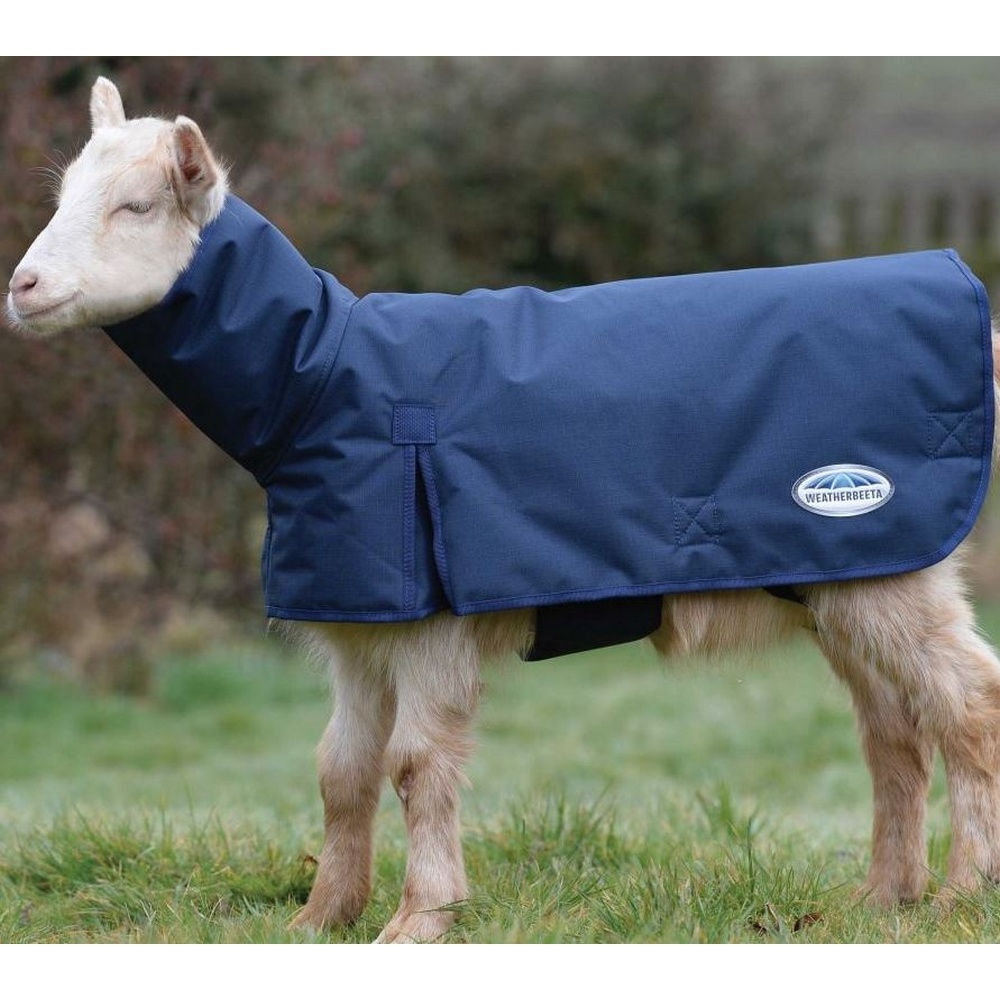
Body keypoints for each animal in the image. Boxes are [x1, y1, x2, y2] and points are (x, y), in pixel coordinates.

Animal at [7, 77, 1000, 943]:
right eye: (62, 196)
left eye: (137, 207)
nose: (21, 287)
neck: (320, 380)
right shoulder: (359, 621)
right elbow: (340, 770)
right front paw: (318, 921)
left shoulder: (431, 622)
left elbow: (414, 766)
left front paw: (419, 921)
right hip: (846, 575)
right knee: (892, 731)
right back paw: (880, 901)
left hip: (893, 560)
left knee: (968, 707)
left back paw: (960, 894)